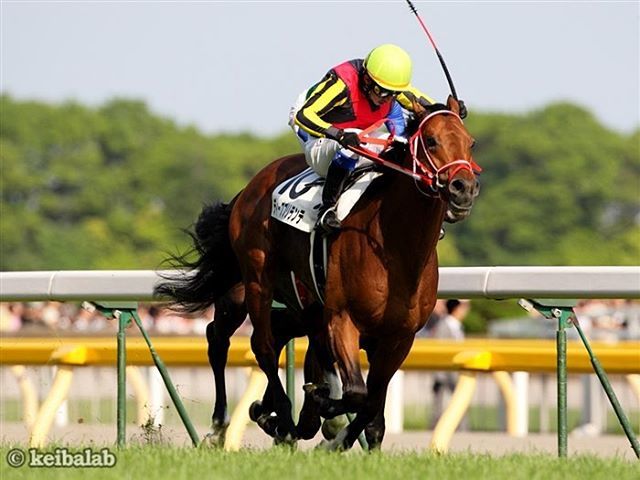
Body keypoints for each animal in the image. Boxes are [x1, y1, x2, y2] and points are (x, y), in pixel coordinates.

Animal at [157, 95, 480, 450]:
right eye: (432, 141)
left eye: (470, 142)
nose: (464, 188)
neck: (393, 250)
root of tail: (249, 188)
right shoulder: (341, 319)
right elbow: (356, 393)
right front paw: (323, 414)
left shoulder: (400, 337)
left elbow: (371, 403)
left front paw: (334, 432)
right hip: (252, 285)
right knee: (248, 343)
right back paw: (248, 423)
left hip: (296, 308)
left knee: (261, 337)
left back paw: (269, 414)